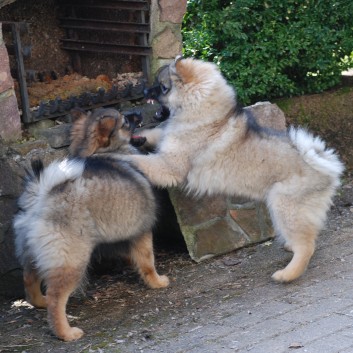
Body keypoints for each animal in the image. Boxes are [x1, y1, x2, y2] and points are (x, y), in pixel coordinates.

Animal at [13, 108, 168, 340]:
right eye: (125, 121)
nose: (139, 112)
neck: (100, 151)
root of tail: (40, 195)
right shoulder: (141, 232)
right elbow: (148, 261)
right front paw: (157, 282)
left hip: (32, 252)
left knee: (29, 281)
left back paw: (40, 302)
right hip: (72, 260)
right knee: (56, 298)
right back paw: (66, 332)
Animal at [123, 57, 340, 284]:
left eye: (162, 86)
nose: (145, 90)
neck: (200, 110)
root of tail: (326, 166)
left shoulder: (169, 165)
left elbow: (142, 160)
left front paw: (117, 156)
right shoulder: (166, 143)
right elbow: (155, 135)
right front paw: (135, 138)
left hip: (285, 206)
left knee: (306, 245)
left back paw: (287, 274)